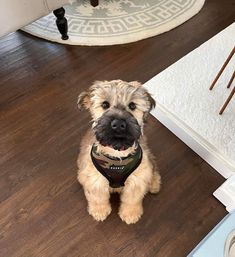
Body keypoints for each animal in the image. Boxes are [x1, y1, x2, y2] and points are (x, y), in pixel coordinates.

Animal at [76, 79, 161, 223]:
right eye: (105, 104)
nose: (118, 124)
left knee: (153, 167)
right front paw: (99, 211)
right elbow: (98, 198)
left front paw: (130, 213)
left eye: (132, 105)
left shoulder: (136, 179)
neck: (116, 152)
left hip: (148, 157)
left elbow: (132, 199)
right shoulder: (95, 179)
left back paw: (154, 183)